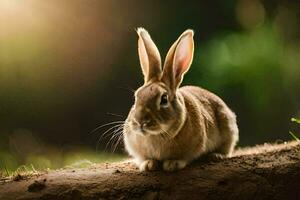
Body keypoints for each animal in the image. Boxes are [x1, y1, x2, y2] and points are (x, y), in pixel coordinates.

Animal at [123, 27, 238, 172]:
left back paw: (216, 155)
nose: (140, 122)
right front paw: (148, 164)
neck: (156, 134)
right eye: (136, 97)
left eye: (164, 99)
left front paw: (172, 164)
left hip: (228, 128)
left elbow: (184, 158)